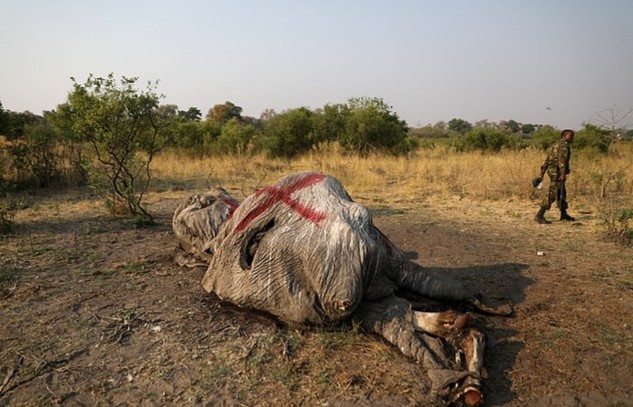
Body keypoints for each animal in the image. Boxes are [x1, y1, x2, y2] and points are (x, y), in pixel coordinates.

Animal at [170, 172, 506, 407]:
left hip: (342, 276)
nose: (200, 196)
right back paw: (463, 363)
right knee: (401, 313)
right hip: (352, 284)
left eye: (200, 202)